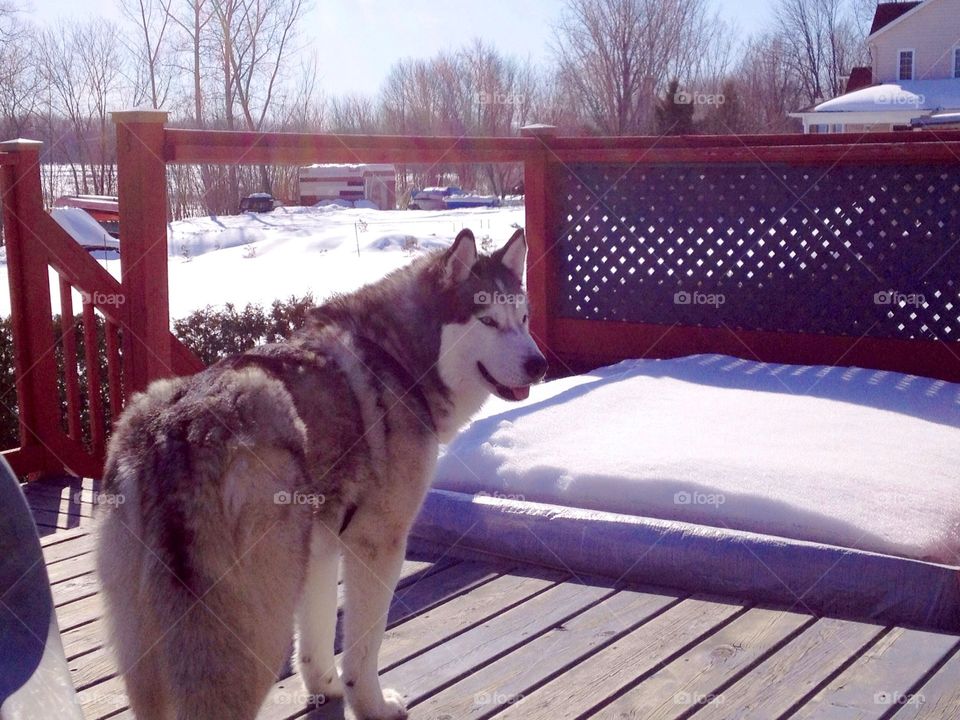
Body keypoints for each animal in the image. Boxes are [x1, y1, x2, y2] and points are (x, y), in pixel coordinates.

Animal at [97, 228, 548, 716]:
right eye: (488, 321)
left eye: (523, 318)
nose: (539, 365)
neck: (397, 355)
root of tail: (176, 432)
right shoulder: (378, 543)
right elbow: (363, 651)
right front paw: (372, 706)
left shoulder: (320, 548)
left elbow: (315, 642)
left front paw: (326, 689)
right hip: (257, 626)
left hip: (147, 654)